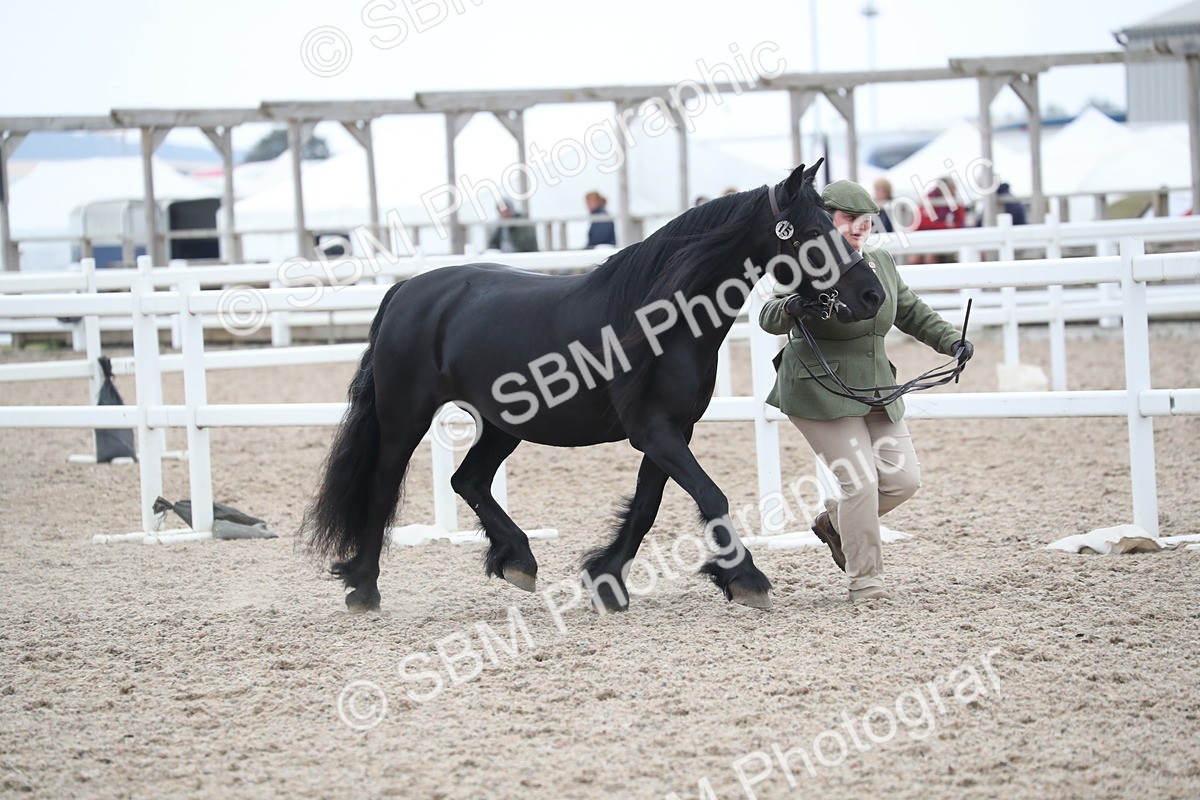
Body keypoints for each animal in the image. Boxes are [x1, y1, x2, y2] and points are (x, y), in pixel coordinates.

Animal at [301, 161, 885, 613]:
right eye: (811, 234)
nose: (872, 295)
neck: (660, 320)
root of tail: (406, 291)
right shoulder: (653, 431)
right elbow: (711, 495)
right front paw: (746, 579)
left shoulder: (672, 431)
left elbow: (647, 507)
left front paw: (606, 580)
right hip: (406, 416)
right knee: (384, 486)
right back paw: (364, 587)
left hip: (502, 424)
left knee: (467, 481)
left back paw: (518, 561)